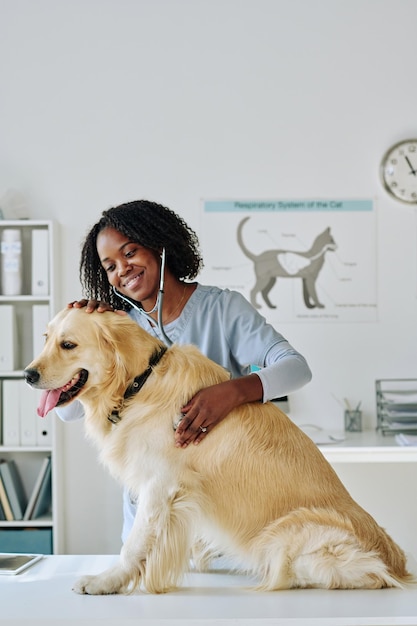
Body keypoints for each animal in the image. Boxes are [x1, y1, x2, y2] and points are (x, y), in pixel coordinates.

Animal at [24, 308, 412, 596]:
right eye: (45, 339)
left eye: (68, 344)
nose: (27, 375)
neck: (139, 382)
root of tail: (398, 563)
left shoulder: (159, 484)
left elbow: (134, 544)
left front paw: (108, 581)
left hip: (285, 536)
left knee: (354, 573)